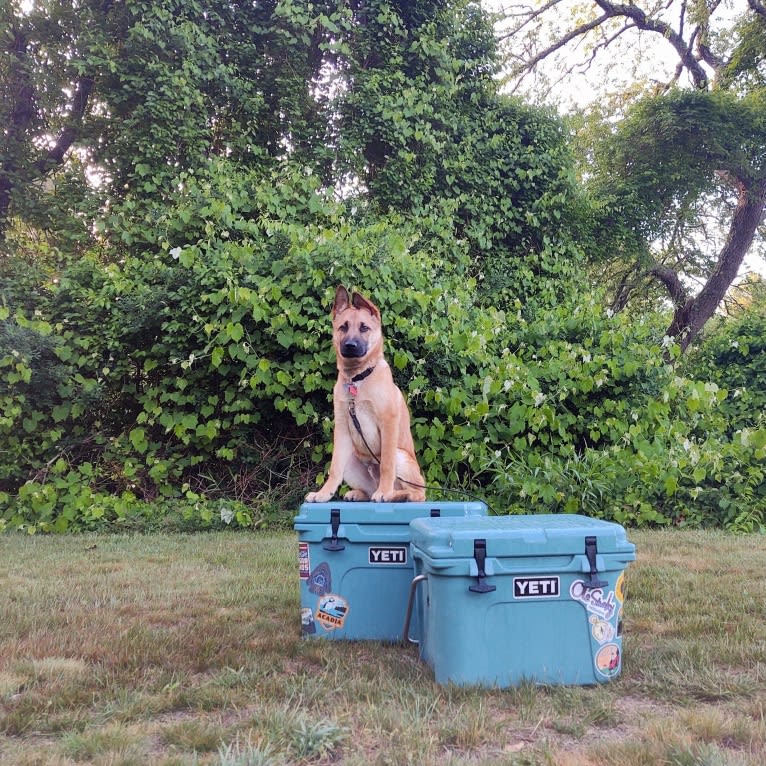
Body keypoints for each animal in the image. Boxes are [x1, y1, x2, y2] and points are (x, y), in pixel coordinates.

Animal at [304, 286, 426, 504]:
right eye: (343, 327)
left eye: (364, 328)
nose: (350, 346)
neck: (358, 379)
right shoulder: (342, 427)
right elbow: (334, 468)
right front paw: (323, 494)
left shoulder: (388, 423)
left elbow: (386, 465)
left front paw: (384, 492)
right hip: (352, 460)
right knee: (368, 492)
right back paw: (360, 493)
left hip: (400, 455)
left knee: (419, 493)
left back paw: (396, 495)